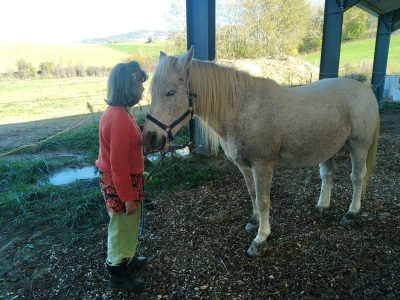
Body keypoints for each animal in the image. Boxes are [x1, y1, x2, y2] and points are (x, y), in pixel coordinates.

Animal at [142, 46, 380, 258]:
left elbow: (264, 200)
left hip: (358, 145)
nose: (150, 138)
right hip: (326, 146)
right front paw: (254, 221)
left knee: (357, 177)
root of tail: (366, 89)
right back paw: (321, 207)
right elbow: (253, 195)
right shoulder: (244, 165)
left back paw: (352, 213)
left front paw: (260, 239)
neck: (242, 107)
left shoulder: (262, 165)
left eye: (171, 92)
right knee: (327, 175)